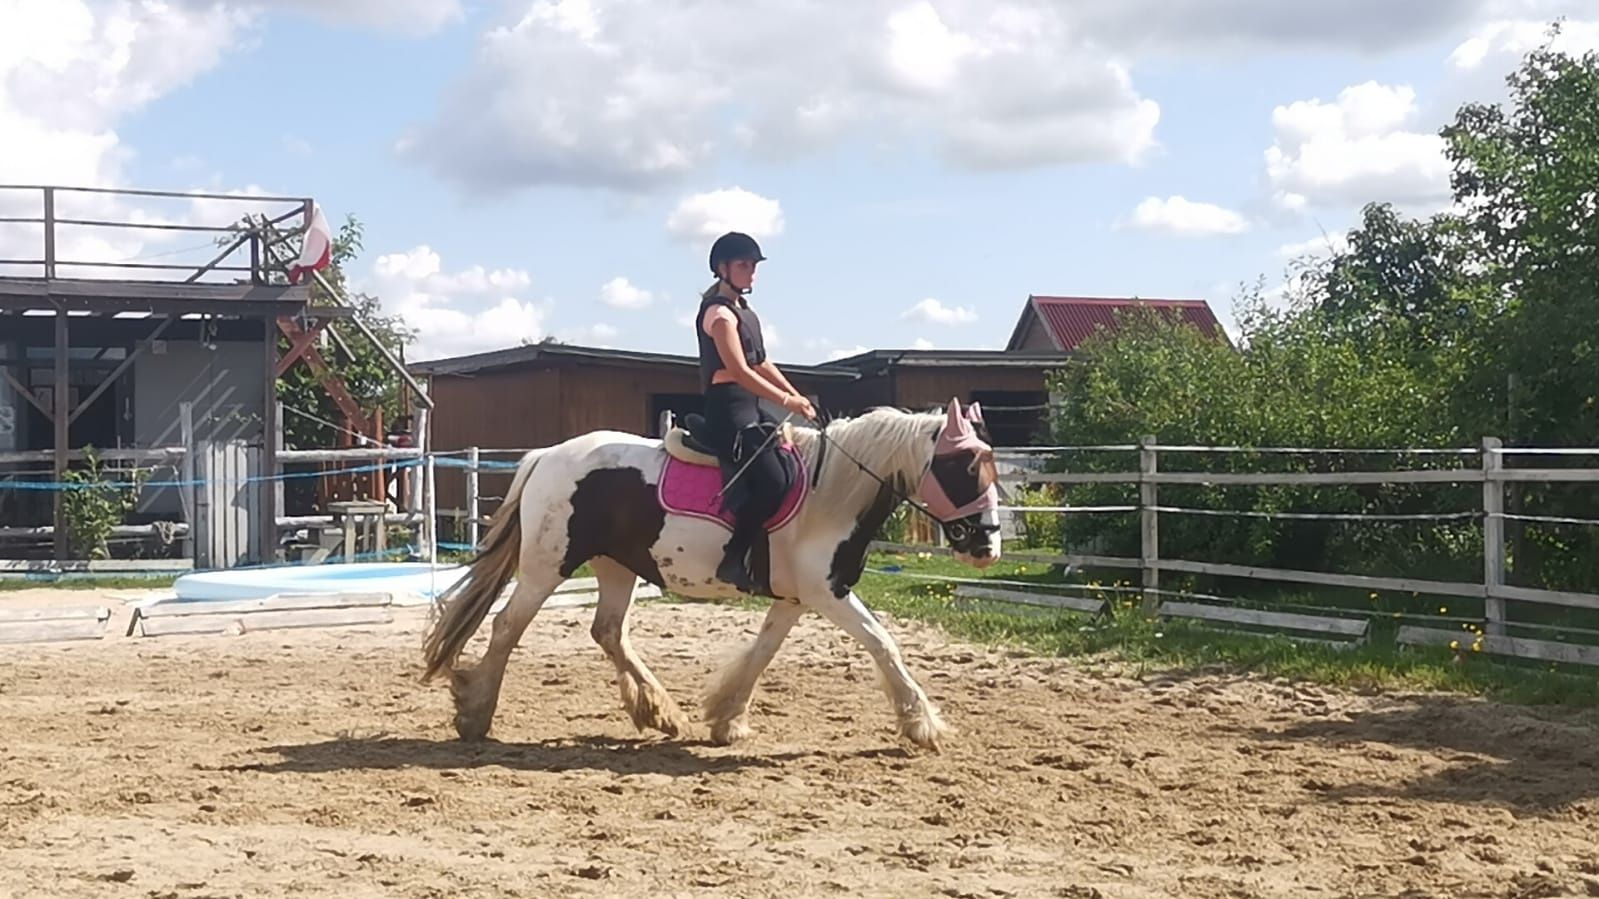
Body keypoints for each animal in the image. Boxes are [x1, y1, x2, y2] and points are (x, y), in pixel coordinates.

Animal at [425, 398, 997, 748]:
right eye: (966, 467)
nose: (988, 545)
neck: (828, 492)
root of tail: (546, 456)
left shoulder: (795, 598)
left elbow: (763, 652)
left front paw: (726, 717)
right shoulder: (828, 593)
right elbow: (883, 643)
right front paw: (922, 723)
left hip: (616, 565)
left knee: (608, 631)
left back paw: (661, 713)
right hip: (549, 564)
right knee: (507, 626)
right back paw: (475, 713)